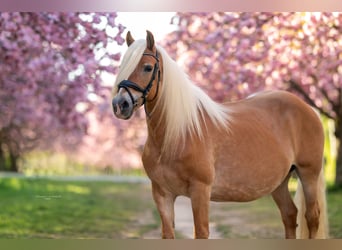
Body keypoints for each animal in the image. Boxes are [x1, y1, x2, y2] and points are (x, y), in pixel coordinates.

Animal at [111, 30, 328, 238]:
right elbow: (167, 233)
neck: (175, 136)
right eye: (123, 65)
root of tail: (308, 108)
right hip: (280, 183)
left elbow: (201, 232)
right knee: (290, 215)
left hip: (308, 174)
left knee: (312, 217)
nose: (120, 104)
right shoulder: (162, 193)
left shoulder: (200, 190)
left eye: (147, 67)